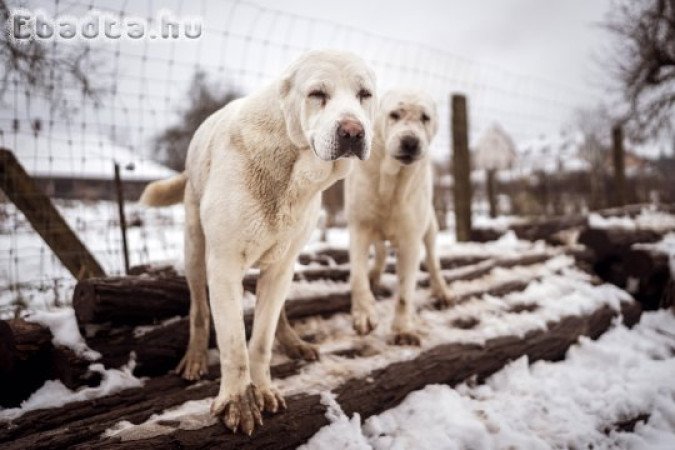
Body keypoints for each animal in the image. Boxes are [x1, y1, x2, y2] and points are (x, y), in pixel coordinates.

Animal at [140, 51, 378, 434]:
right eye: (317, 94)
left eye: (364, 95)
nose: (353, 131)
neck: (291, 172)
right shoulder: (223, 265)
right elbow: (234, 343)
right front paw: (239, 401)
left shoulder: (282, 265)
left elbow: (262, 339)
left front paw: (263, 388)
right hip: (195, 247)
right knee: (198, 310)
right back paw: (194, 358)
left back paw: (293, 343)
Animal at [346, 87, 452, 344]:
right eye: (394, 114)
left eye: (425, 118)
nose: (410, 142)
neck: (391, 179)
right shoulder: (359, 227)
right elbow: (357, 276)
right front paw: (364, 314)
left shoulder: (410, 240)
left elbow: (405, 291)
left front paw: (403, 329)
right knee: (380, 252)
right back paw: (374, 275)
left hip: (431, 227)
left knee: (433, 260)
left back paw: (441, 291)